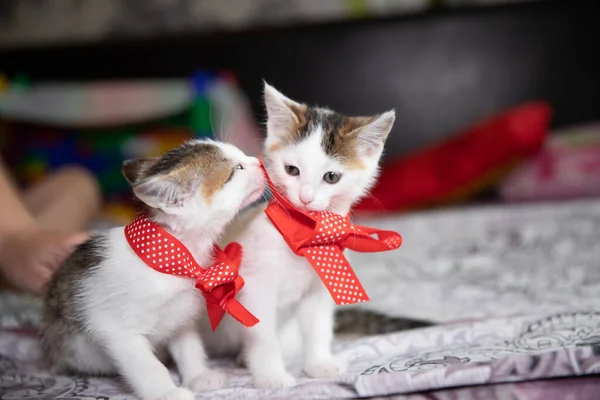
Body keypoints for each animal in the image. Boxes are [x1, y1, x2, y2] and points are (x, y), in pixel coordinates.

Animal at [202, 83, 396, 388]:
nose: (305, 198)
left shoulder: (319, 288)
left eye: (331, 177)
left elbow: (318, 326)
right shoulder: (255, 287)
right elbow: (262, 335)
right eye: (292, 170)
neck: (305, 237)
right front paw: (271, 376)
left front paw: (319, 363)